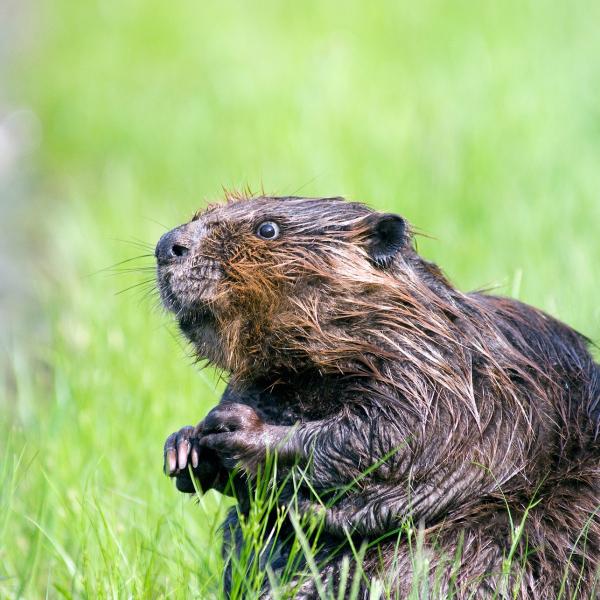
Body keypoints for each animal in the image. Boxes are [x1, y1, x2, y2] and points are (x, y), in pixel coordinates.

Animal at [156, 195, 600, 596]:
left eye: (267, 229)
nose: (167, 245)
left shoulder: (443, 376)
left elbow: (392, 437)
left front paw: (236, 428)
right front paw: (185, 446)